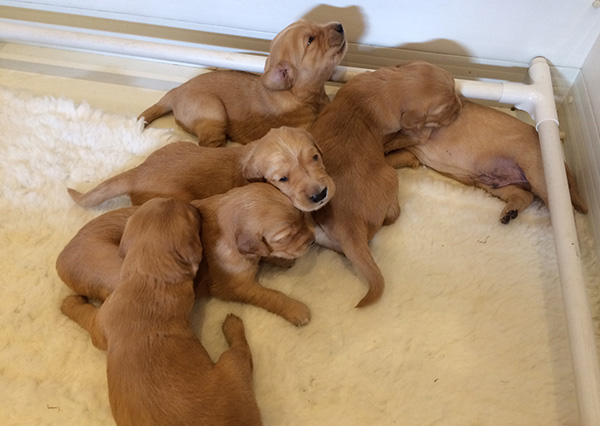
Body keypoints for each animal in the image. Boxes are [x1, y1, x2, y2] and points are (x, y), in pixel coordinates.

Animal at [59, 199, 262, 426]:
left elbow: (84, 314)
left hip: (231, 364)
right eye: (190, 214)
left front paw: (68, 303)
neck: (151, 277)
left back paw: (232, 324)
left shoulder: (99, 323)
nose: (193, 206)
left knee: (242, 352)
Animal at [310, 61, 460, 308]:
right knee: (391, 216)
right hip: (390, 177)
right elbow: (407, 136)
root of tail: (349, 224)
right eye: (445, 109)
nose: (461, 106)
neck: (384, 88)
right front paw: (419, 134)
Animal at [384, 98, 584, 225]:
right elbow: (390, 156)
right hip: (494, 185)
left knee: (567, 210)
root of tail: (563, 164)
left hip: (536, 173)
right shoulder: (411, 154)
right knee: (524, 196)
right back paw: (508, 214)